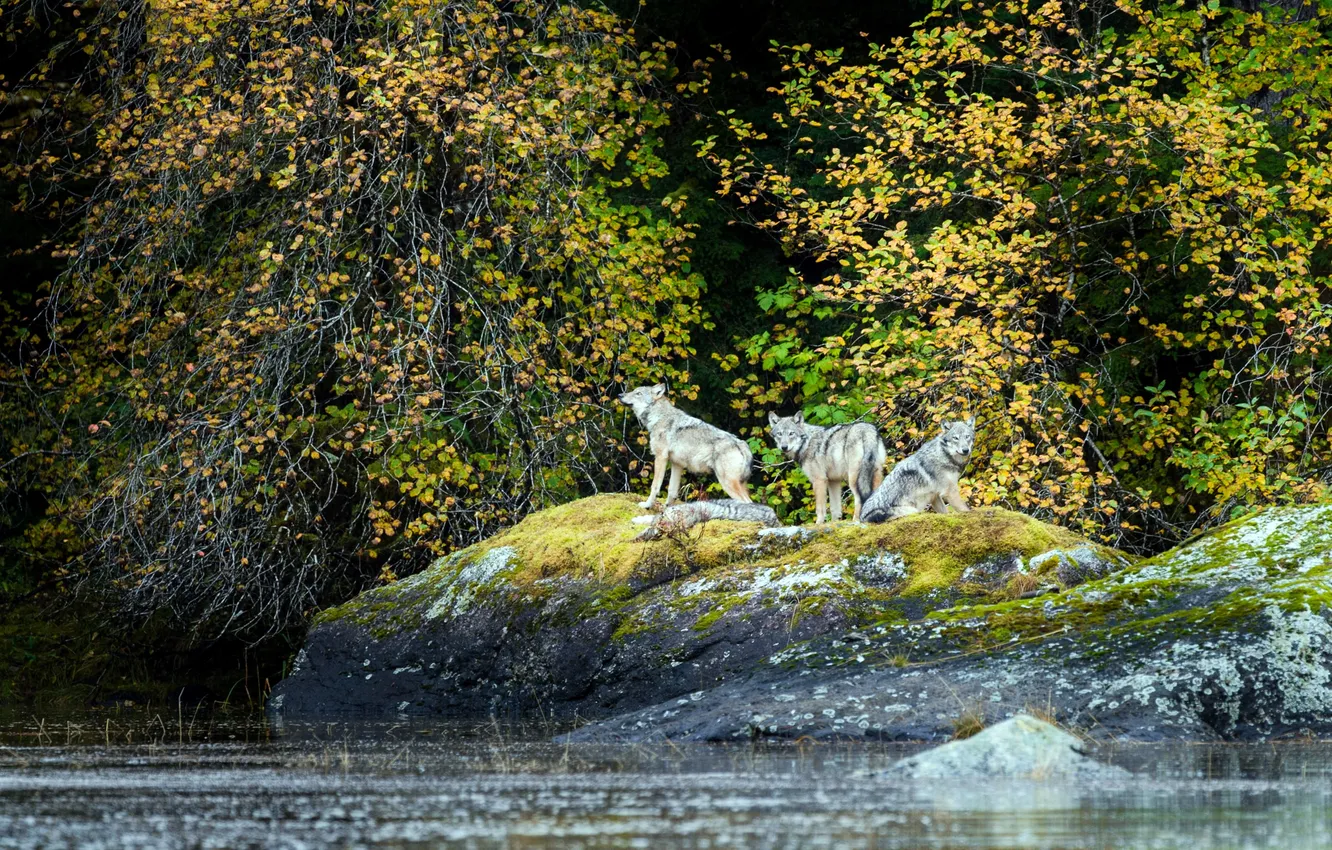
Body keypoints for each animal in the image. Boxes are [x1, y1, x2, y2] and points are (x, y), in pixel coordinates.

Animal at [618, 383, 756, 508]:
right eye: (634, 391)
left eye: (638, 393)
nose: (619, 395)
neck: (659, 417)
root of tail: (741, 443)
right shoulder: (676, 464)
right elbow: (672, 491)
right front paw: (668, 509)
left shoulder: (660, 457)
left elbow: (655, 486)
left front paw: (647, 505)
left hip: (727, 483)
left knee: (747, 503)